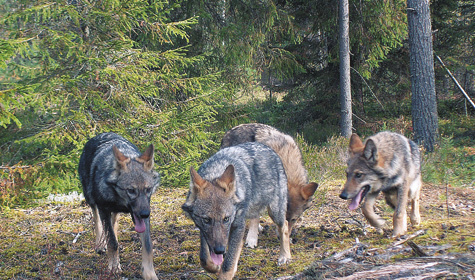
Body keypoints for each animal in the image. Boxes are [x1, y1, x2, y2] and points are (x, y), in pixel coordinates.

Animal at [78, 132, 160, 278]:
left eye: (148, 189)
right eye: (131, 190)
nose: (145, 214)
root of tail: (99, 134)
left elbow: (148, 246)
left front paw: (149, 274)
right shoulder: (103, 208)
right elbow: (112, 242)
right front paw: (114, 267)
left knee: (113, 222)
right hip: (90, 198)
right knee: (97, 220)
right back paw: (100, 244)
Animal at [182, 143, 292, 278]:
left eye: (226, 218)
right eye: (207, 220)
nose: (220, 250)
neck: (215, 172)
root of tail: (267, 147)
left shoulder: (238, 225)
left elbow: (227, 265)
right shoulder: (203, 230)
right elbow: (204, 258)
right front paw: (214, 266)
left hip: (275, 212)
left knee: (285, 226)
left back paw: (284, 256)